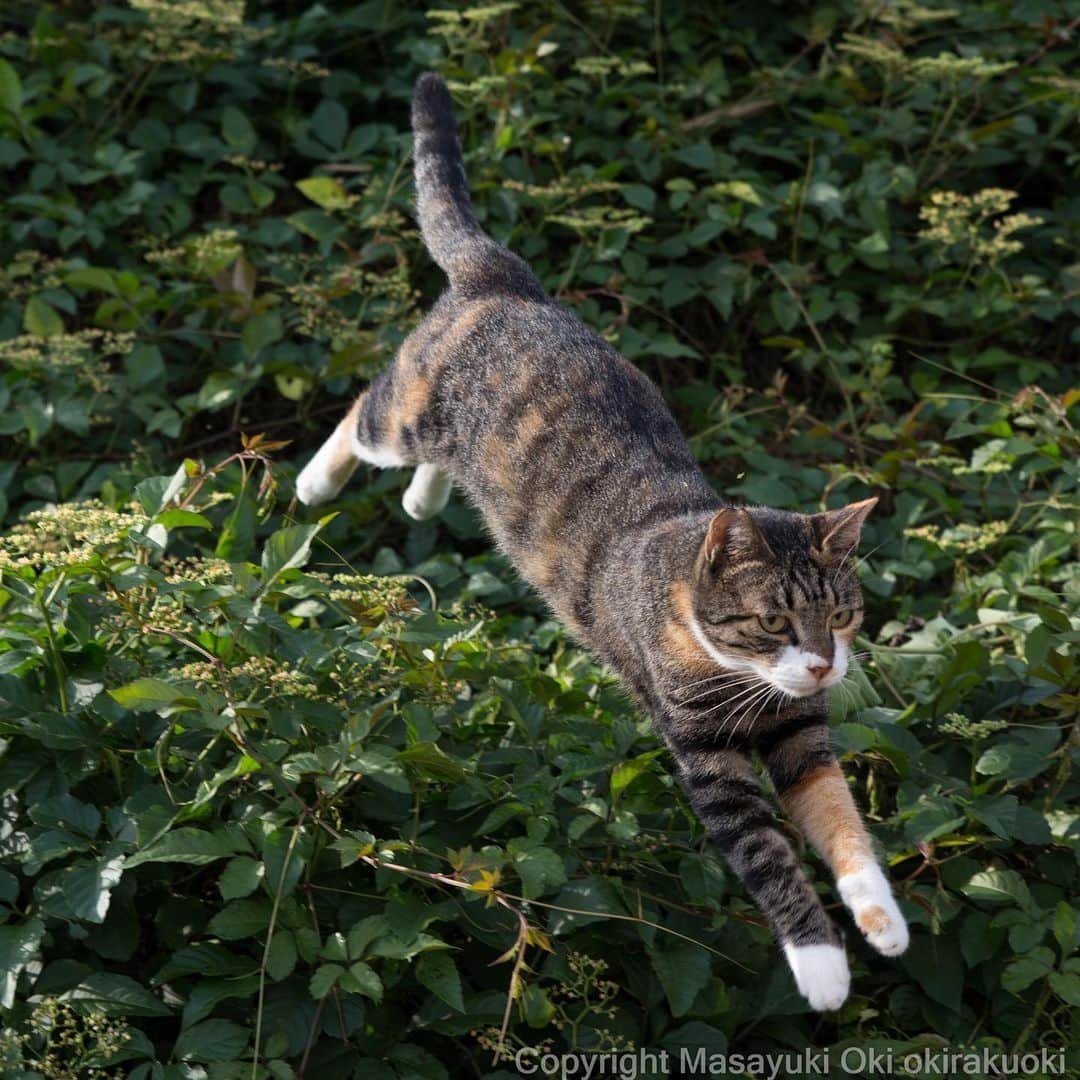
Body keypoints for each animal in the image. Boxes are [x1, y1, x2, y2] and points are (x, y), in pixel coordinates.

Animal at [291, 71, 907, 1006]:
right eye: (773, 621)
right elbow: (766, 855)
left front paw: (882, 920)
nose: (823, 667)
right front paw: (822, 966)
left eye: (840, 615)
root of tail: (505, 281)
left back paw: (426, 500)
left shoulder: (800, 737)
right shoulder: (709, 758)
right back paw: (314, 483)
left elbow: (840, 820)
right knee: (366, 413)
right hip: (409, 409)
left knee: (431, 467)